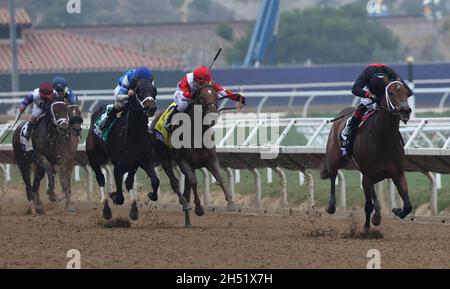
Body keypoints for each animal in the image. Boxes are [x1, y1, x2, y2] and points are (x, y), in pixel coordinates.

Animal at [86, 79, 160, 220]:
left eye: (154, 90)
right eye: (138, 90)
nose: (151, 108)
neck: (133, 135)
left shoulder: (141, 161)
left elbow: (153, 181)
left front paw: (146, 199)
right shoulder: (119, 166)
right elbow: (120, 196)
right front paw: (113, 195)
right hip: (93, 157)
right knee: (100, 179)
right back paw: (106, 209)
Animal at [150, 82, 236, 226]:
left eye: (215, 96)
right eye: (201, 98)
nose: (212, 117)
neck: (197, 134)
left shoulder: (211, 160)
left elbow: (220, 178)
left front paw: (231, 203)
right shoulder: (183, 161)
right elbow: (193, 181)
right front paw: (199, 208)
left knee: (186, 189)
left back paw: (188, 220)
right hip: (165, 158)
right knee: (175, 183)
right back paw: (184, 204)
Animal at [322, 76, 414, 230]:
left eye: (406, 93)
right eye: (390, 93)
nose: (405, 110)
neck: (384, 139)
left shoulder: (398, 174)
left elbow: (407, 206)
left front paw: (396, 210)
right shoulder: (367, 176)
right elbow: (371, 204)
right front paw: (372, 222)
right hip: (334, 158)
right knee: (333, 175)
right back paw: (331, 206)